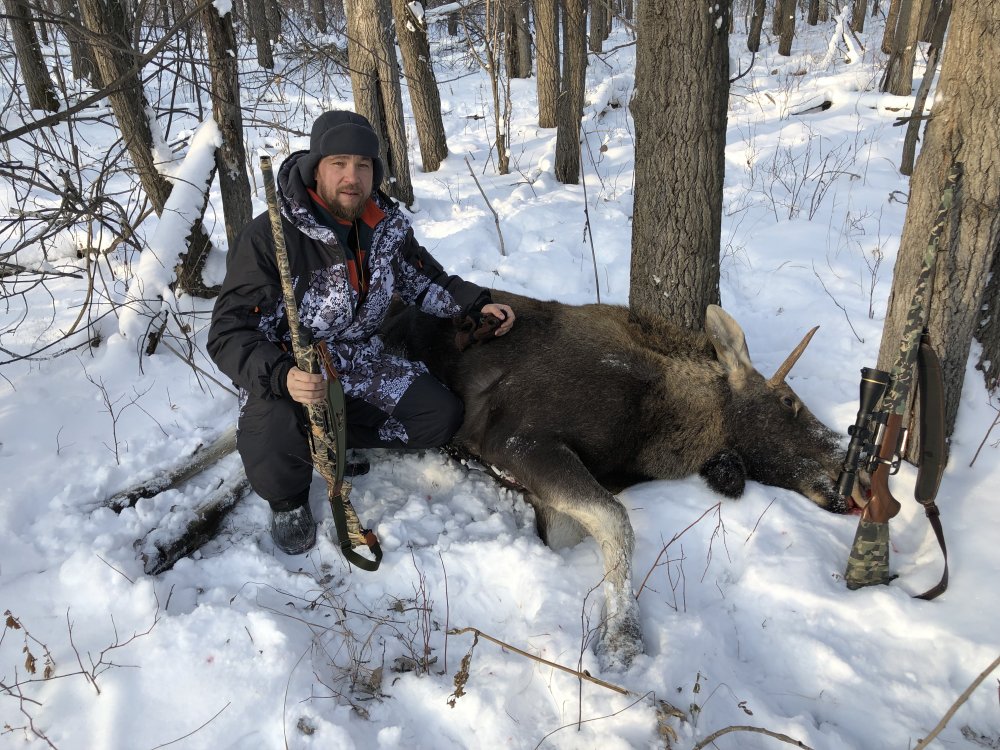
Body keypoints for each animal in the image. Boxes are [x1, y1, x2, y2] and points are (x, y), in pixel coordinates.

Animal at [378, 292, 864, 668]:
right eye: (788, 401)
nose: (853, 471)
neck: (657, 429)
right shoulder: (515, 438)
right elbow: (616, 522)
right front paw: (622, 640)